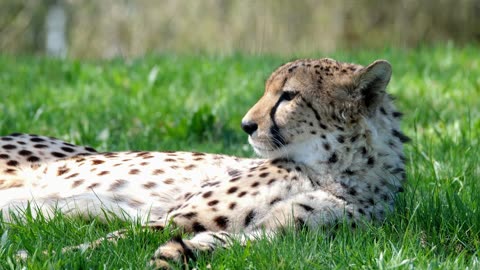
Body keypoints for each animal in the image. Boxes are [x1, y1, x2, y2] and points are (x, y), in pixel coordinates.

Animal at [0, 58, 408, 266]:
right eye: (268, 90)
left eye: (289, 95)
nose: (246, 124)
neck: (335, 169)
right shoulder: (171, 218)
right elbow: (107, 241)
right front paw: (36, 256)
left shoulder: (285, 236)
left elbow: (230, 241)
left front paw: (177, 253)